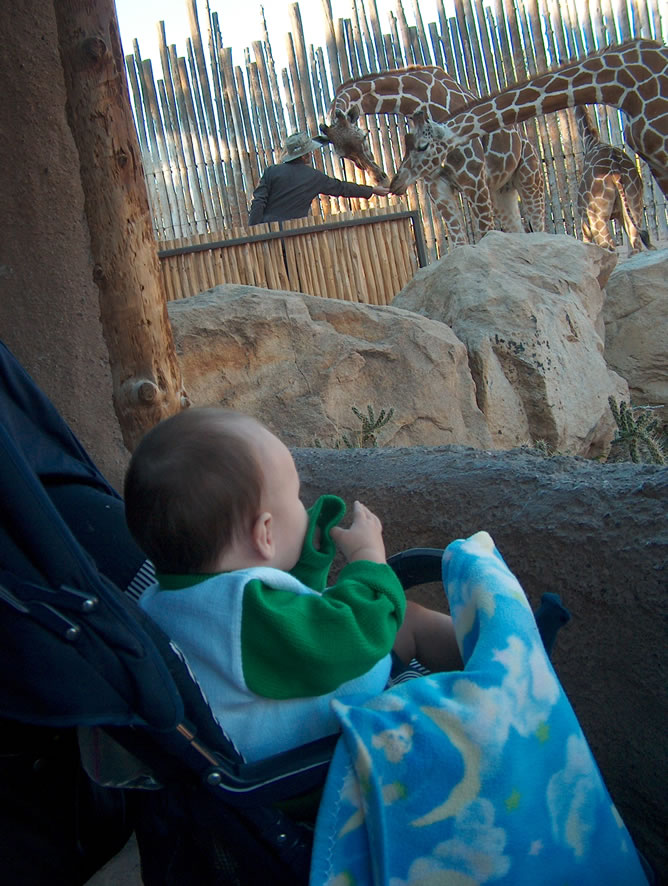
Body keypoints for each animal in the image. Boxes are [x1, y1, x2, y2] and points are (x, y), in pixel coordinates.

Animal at [318, 65, 544, 246]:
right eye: (344, 155)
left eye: (364, 136)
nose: (381, 178)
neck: (420, 100)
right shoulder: (438, 187)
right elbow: (459, 243)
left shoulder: (474, 179)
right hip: (502, 190)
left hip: (529, 178)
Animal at [576, 106, 652, 256]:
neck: (590, 142)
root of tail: (616, 170)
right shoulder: (620, 215)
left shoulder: (585, 221)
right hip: (634, 207)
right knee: (637, 245)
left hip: (597, 217)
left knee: (610, 246)